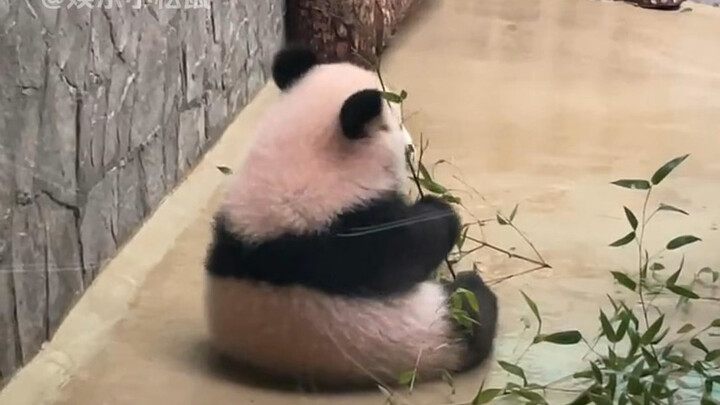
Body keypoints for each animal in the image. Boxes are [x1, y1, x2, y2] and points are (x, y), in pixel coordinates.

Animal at [204, 45, 499, 388]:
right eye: (396, 125)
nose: (412, 147)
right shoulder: (346, 231)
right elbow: (410, 245)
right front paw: (439, 210)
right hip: (435, 328)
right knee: (473, 309)